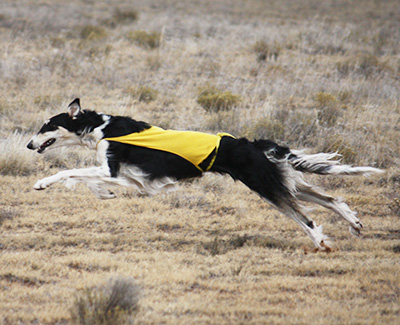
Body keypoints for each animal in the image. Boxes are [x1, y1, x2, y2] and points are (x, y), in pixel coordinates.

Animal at [26, 97, 382, 249]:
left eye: (46, 126)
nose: (29, 144)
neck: (100, 127)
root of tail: (252, 144)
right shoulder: (132, 179)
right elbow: (84, 178)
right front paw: (103, 193)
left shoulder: (118, 171)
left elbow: (70, 172)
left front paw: (42, 183)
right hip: (276, 179)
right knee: (331, 199)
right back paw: (353, 222)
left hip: (265, 185)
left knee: (305, 217)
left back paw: (321, 241)